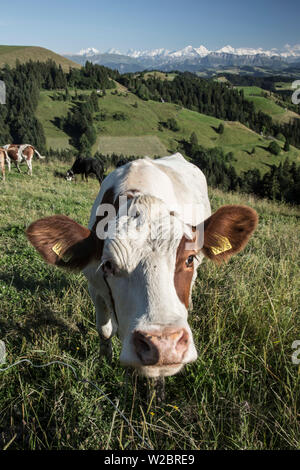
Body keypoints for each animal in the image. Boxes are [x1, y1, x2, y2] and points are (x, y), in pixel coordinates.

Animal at [25, 153, 258, 378]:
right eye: (108, 265)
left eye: (189, 259)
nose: (164, 346)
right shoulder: (94, 285)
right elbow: (104, 329)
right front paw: (105, 358)